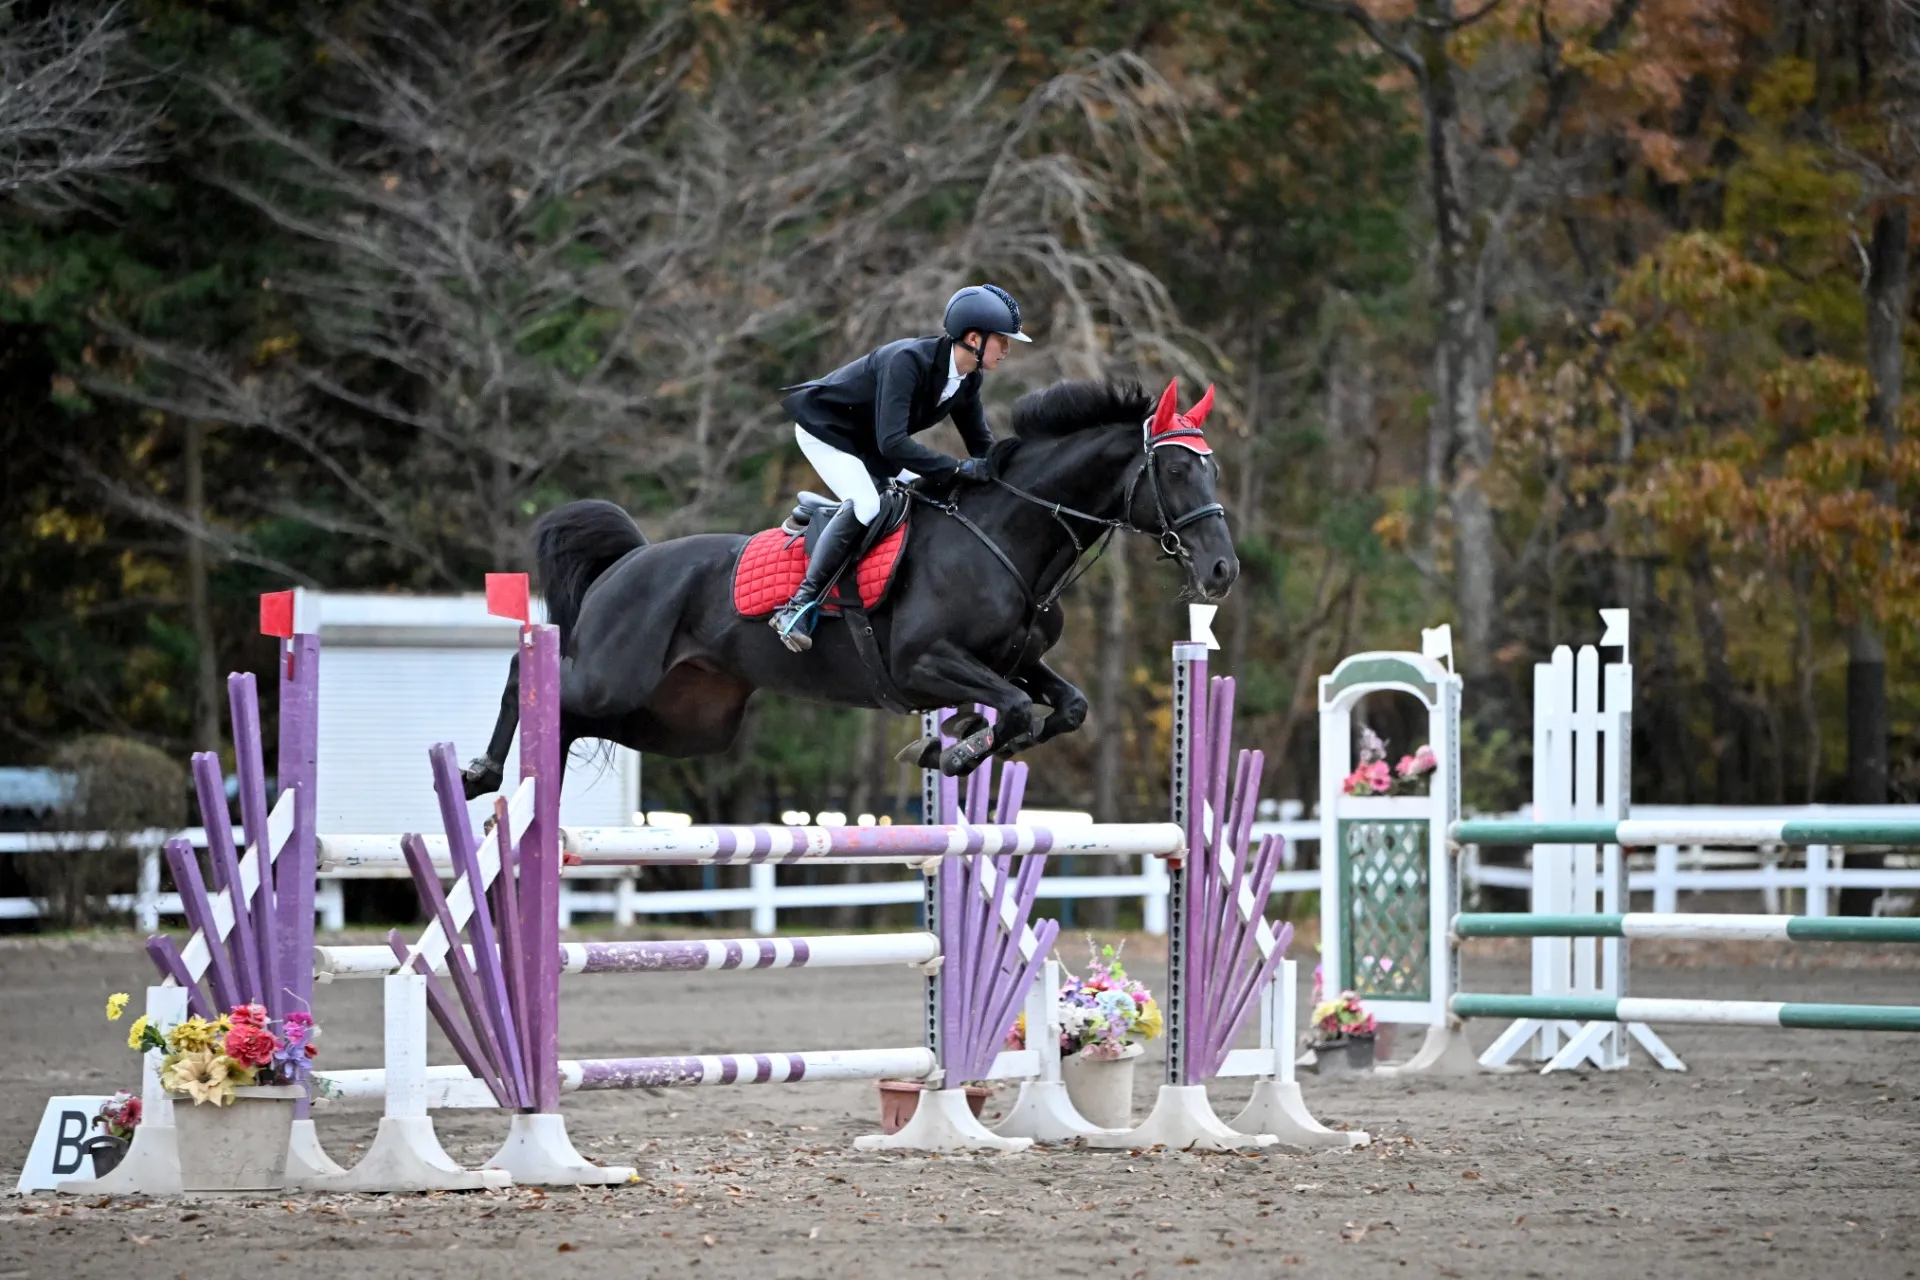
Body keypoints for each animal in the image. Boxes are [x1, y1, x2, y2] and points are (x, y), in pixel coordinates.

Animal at [464, 376, 1244, 794]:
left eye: (1213, 468)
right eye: (1177, 469)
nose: (1221, 571)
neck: (1009, 535)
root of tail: (628, 564)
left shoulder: (1015, 660)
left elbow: (1060, 707)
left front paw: (952, 742)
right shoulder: (925, 661)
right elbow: (1018, 709)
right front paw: (953, 747)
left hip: (683, 721)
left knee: (572, 717)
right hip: (617, 676)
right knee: (533, 677)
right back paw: (483, 774)